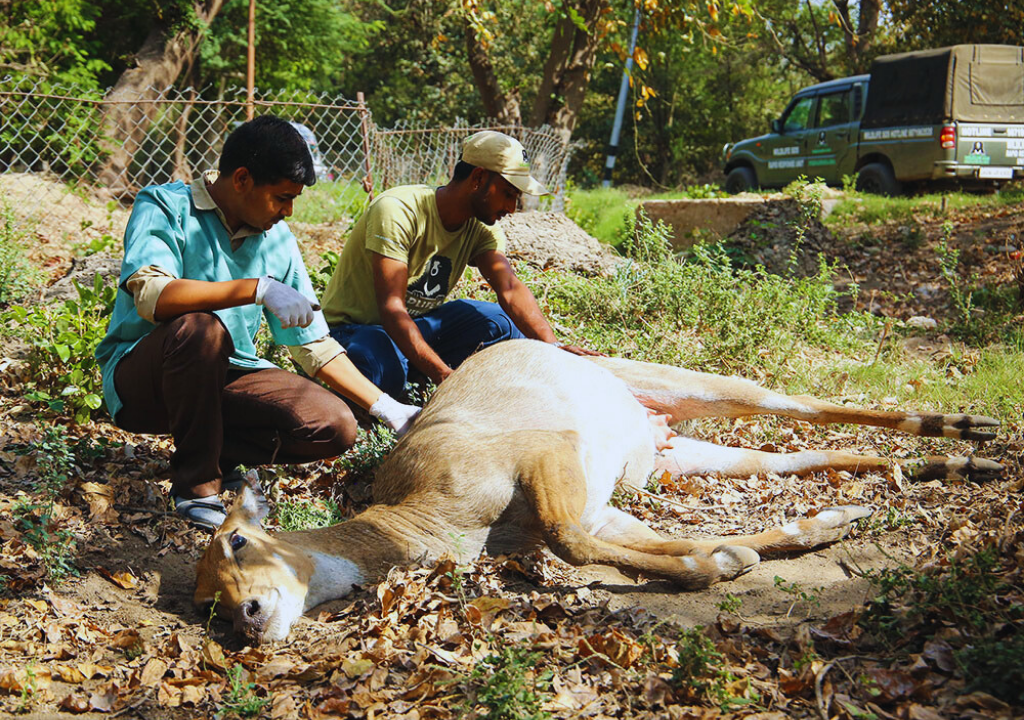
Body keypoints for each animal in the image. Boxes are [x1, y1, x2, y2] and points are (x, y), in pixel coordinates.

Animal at [194, 339, 1001, 644]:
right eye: (207, 603)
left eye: (238, 538)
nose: (250, 617)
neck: (427, 519)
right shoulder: (601, 502)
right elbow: (646, 542)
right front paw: (750, 551)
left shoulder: (544, 451)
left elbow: (568, 540)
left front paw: (717, 565)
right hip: (679, 458)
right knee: (810, 455)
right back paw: (943, 470)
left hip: (703, 386)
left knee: (814, 406)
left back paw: (976, 428)